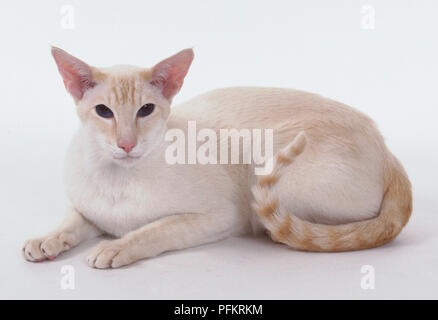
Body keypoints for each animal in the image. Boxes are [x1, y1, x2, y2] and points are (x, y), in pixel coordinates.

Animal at [22, 47, 412, 268]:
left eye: (146, 110)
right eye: (104, 112)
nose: (127, 144)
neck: (118, 178)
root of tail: (387, 149)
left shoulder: (221, 216)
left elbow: (153, 230)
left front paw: (116, 247)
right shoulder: (88, 209)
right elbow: (70, 222)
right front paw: (45, 241)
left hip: (269, 172)